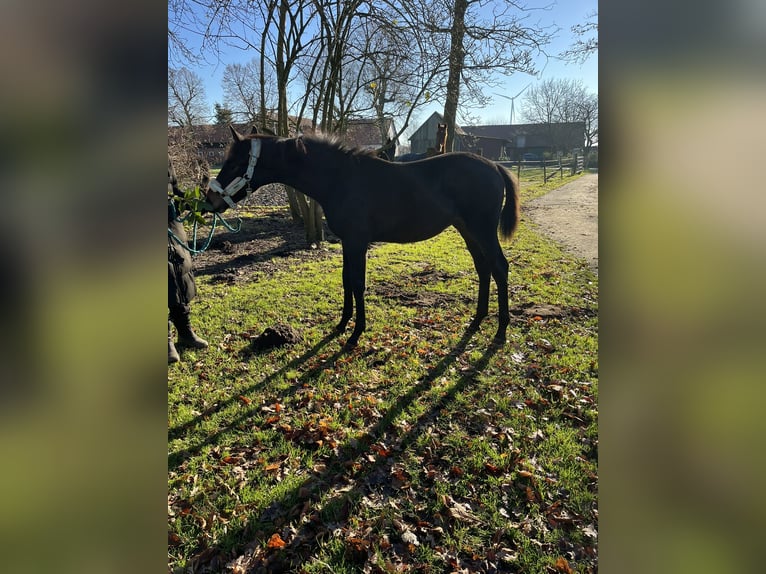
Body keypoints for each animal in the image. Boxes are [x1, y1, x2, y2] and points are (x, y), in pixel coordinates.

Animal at [206, 128, 520, 348]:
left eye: (236, 163)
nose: (210, 200)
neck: (339, 178)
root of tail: (494, 166)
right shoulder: (348, 241)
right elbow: (346, 279)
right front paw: (342, 324)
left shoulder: (357, 241)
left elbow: (357, 282)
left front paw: (356, 332)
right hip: (467, 230)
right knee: (483, 268)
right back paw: (477, 319)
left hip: (482, 230)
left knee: (499, 267)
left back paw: (501, 329)